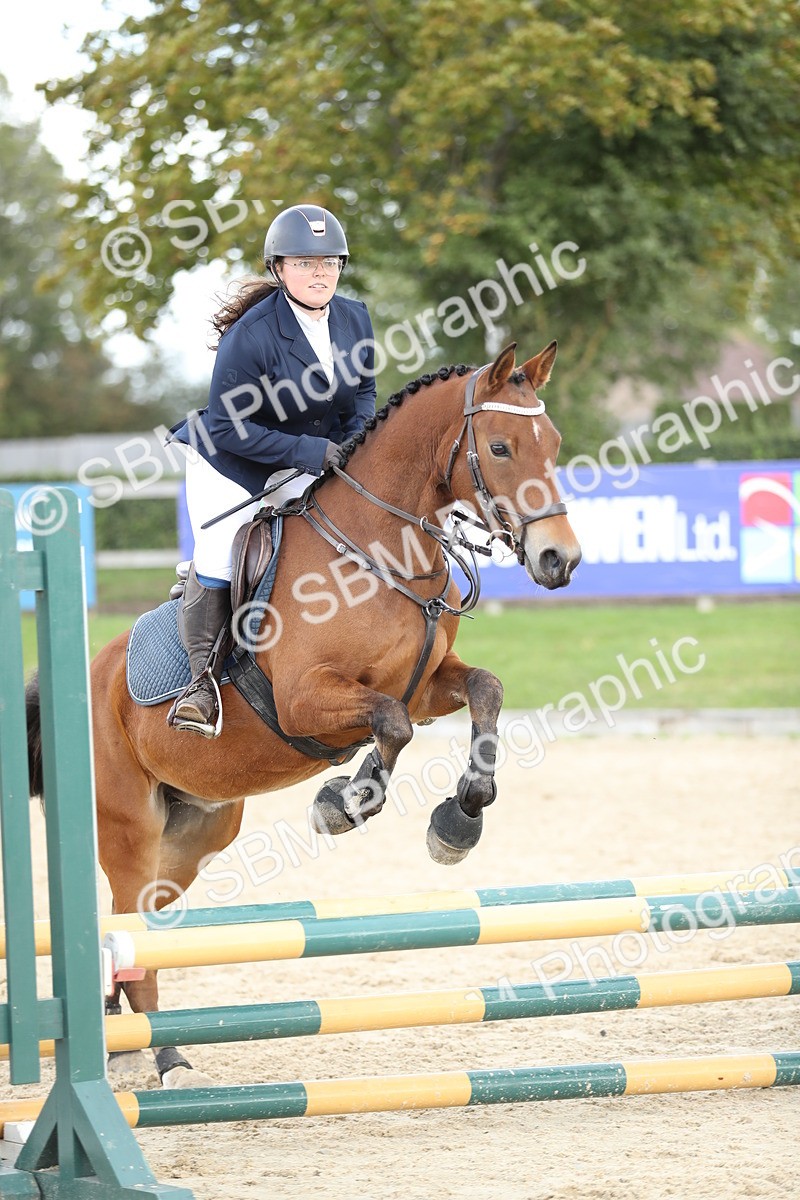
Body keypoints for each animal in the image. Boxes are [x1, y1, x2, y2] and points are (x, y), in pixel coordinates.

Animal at [27, 339, 581, 1085]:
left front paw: (460, 817)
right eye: (499, 447)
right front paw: (345, 802)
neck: (379, 550)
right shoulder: (306, 699)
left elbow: (484, 691)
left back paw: (143, 1041)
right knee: (130, 923)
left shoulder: (426, 685)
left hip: (194, 834)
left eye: (553, 443)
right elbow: (390, 725)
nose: (560, 560)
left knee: (136, 929)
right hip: (128, 827)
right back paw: (163, 1060)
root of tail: (85, 677)